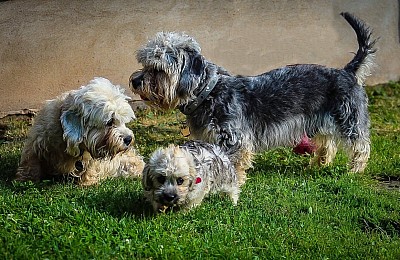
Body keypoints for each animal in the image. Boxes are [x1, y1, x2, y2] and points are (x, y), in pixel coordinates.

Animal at [14, 76, 145, 185]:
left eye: (123, 121)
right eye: (110, 122)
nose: (129, 139)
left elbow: (90, 168)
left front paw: (87, 183)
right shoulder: (37, 141)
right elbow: (31, 161)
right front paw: (26, 179)